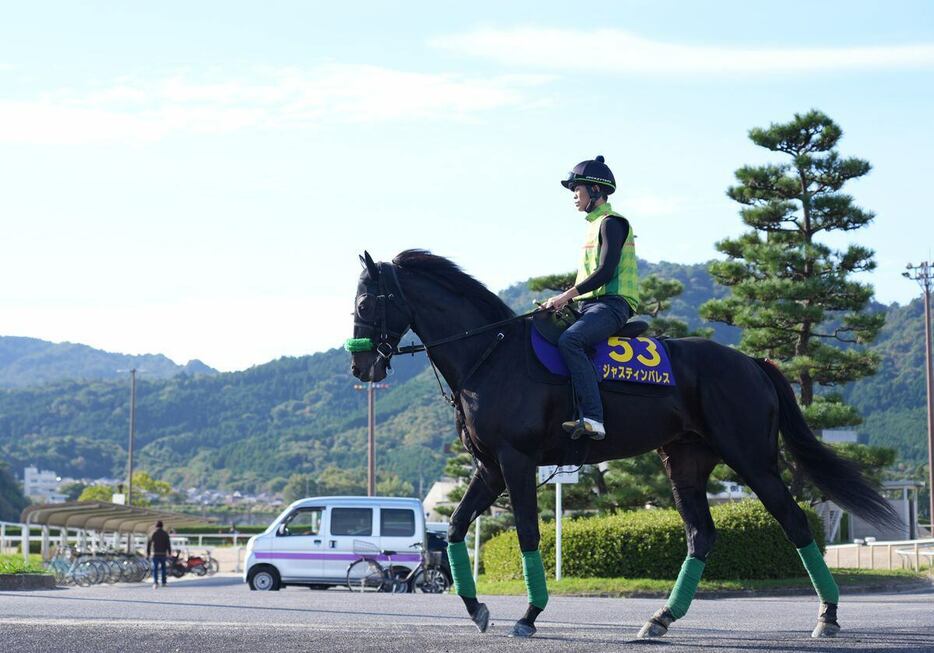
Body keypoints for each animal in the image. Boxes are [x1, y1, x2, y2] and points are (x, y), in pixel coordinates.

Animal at [350, 250, 900, 636]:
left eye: (364, 302)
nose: (361, 366)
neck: (491, 353)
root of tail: (753, 362)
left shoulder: (516, 461)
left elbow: (527, 533)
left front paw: (529, 613)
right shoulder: (489, 467)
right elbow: (457, 529)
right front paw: (476, 606)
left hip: (753, 459)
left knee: (795, 522)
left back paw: (828, 615)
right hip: (685, 461)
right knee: (701, 534)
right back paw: (661, 619)